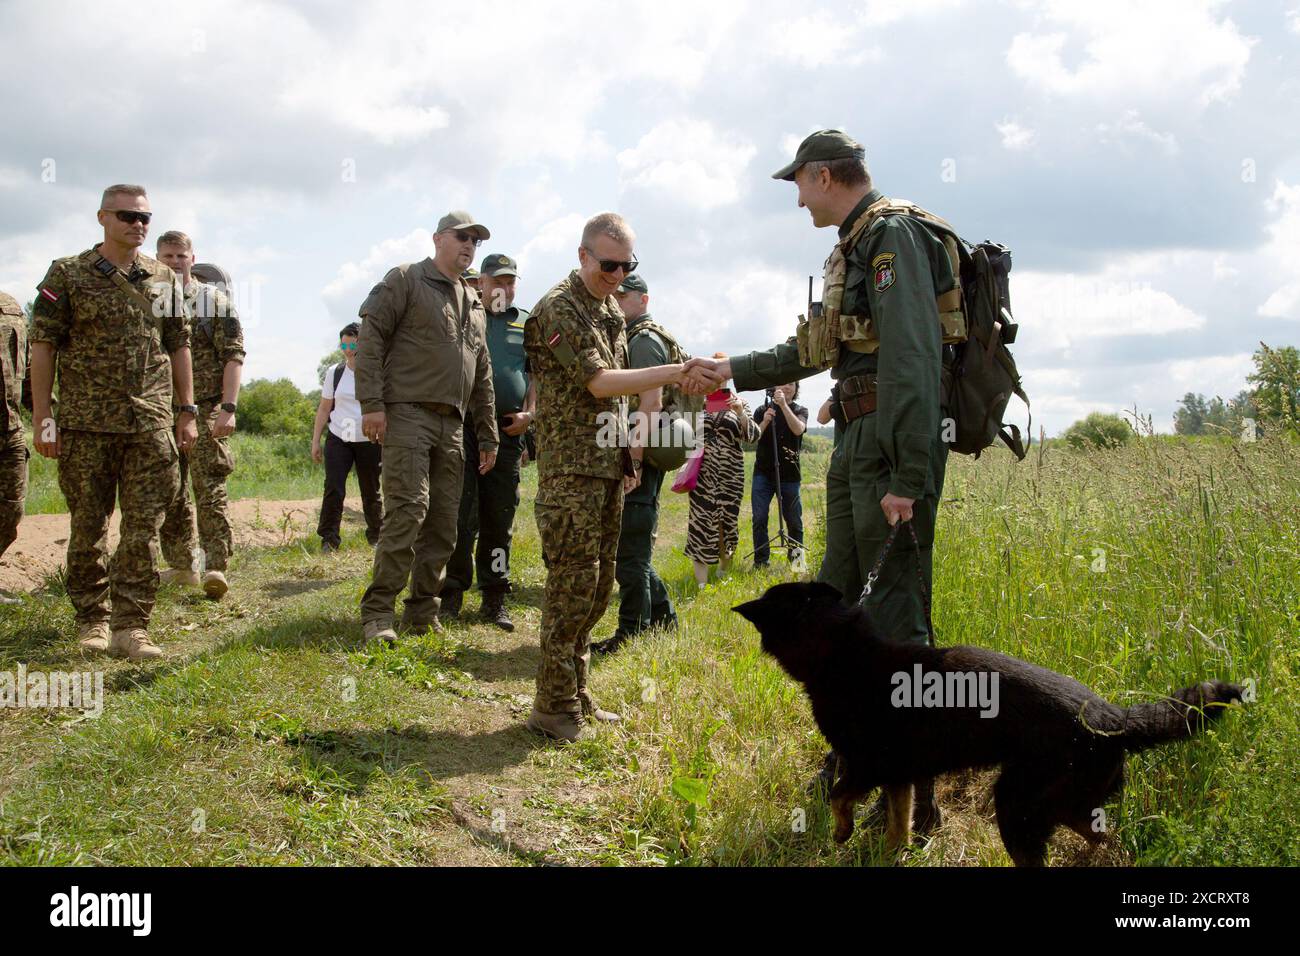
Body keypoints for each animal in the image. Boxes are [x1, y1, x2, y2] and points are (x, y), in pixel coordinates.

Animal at [738, 580, 1242, 863]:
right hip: (1064, 805)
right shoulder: (899, 775)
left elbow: (840, 797)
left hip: (1017, 806)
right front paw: (887, 855)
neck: (840, 652)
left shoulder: (868, 764)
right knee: (1106, 837)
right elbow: (897, 827)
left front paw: (841, 832)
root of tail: (1114, 718)